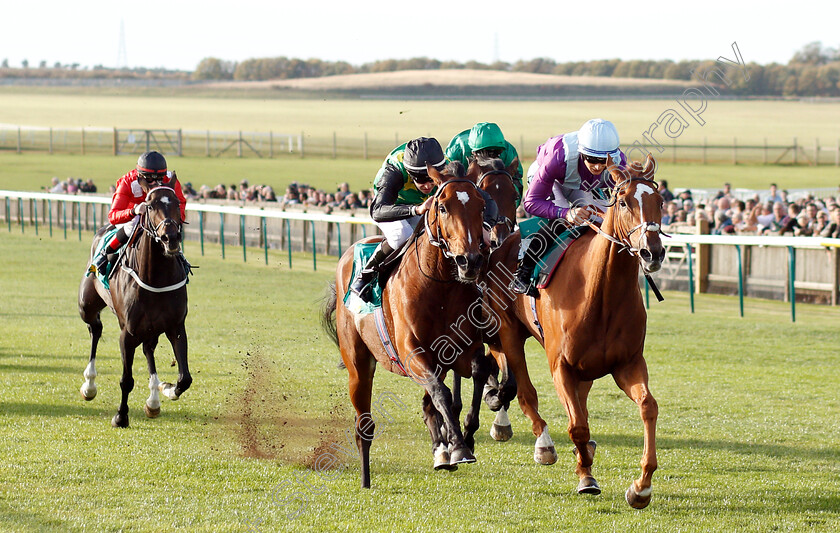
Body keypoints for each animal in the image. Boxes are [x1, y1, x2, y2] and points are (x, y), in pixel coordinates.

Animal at [78, 187, 191, 428]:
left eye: (177, 202)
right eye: (149, 205)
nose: (170, 238)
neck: (156, 278)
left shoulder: (176, 327)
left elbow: (184, 378)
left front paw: (167, 389)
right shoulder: (127, 333)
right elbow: (126, 380)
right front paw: (121, 416)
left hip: (150, 328)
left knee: (148, 348)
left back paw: (153, 401)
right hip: (87, 306)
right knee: (95, 329)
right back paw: (89, 385)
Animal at [324, 161, 492, 486]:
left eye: (481, 206)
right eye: (443, 207)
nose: (470, 261)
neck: (439, 287)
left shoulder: (461, 349)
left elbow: (479, 370)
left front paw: (466, 435)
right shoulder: (411, 353)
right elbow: (442, 393)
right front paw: (460, 446)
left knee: (428, 405)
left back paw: (441, 452)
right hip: (358, 366)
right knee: (364, 425)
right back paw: (365, 479)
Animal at [482, 154, 668, 508]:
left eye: (660, 201)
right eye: (623, 201)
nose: (653, 251)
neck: (601, 293)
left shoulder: (627, 364)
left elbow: (648, 407)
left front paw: (641, 486)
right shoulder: (561, 366)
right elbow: (577, 426)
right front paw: (586, 478)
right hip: (508, 330)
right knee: (521, 388)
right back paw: (538, 440)